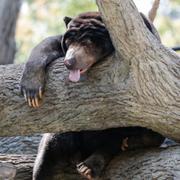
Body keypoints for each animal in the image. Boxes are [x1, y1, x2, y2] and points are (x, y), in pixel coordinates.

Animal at [20, 11, 165, 180]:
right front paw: (32, 92)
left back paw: (92, 165)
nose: (69, 62)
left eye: (87, 42)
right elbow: (48, 43)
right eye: (69, 41)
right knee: (49, 153)